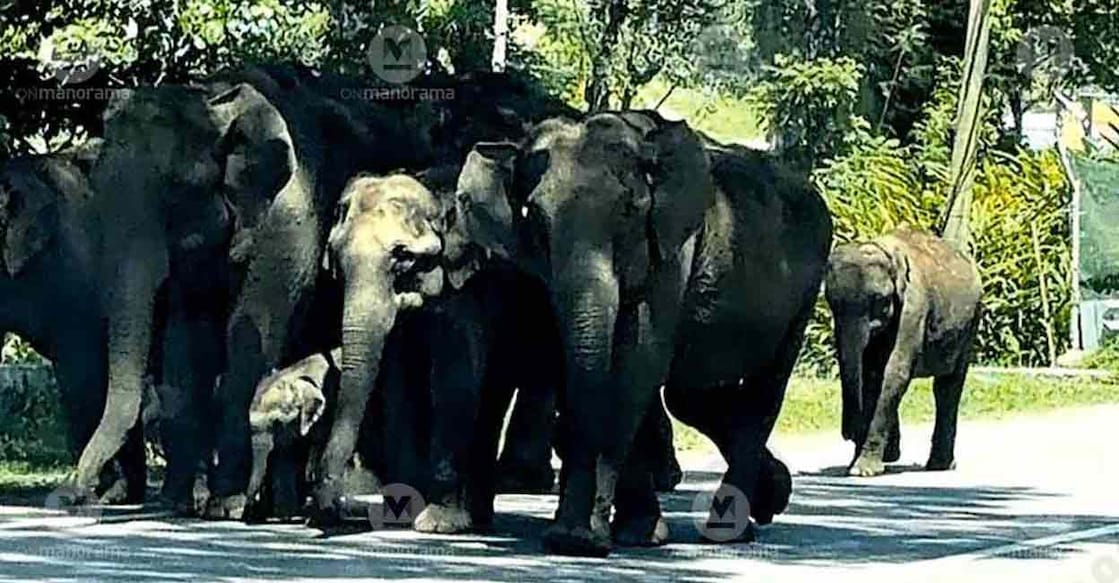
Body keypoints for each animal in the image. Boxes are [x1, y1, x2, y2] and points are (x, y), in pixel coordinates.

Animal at [452, 111, 832, 555]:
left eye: (629, 212)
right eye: (535, 218)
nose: (570, 539)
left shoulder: (670, 247)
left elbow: (637, 363)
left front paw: (590, 538)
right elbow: (583, 363)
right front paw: (628, 534)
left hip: (804, 294)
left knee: (762, 391)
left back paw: (728, 530)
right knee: (691, 395)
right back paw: (774, 493)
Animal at [824, 227, 981, 477]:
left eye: (879, 299)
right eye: (830, 302)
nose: (848, 434)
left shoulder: (913, 309)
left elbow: (894, 372)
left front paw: (862, 470)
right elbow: (870, 374)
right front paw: (859, 463)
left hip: (971, 324)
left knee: (948, 387)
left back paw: (939, 465)